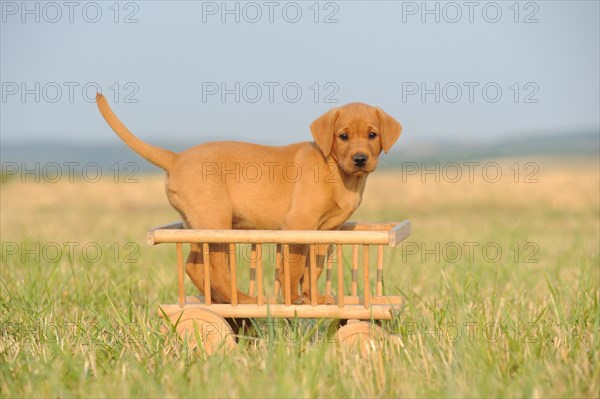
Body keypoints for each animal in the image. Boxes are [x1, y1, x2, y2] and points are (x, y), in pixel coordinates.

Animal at [96, 94, 400, 306]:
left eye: (372, 135)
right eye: (343, 136)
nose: (360, 159)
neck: (337, 171)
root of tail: (177, 157)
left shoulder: (325, 232)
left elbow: (312, 268)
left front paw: (313, 297)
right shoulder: (298, 224)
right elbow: (294, 268)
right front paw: (293, 299)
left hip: (197, 222)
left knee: (194, 265)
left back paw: (222, 299)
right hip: (216, 221)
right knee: (215, 267)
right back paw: (241, 299)